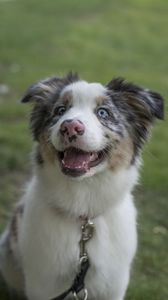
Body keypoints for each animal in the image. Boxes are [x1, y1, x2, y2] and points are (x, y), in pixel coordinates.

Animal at [0, 73, 163, 300]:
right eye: (60, 110)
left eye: (103, 112)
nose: (69, 127)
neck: (83, 206)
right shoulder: (43, 283)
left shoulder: (114, 284)